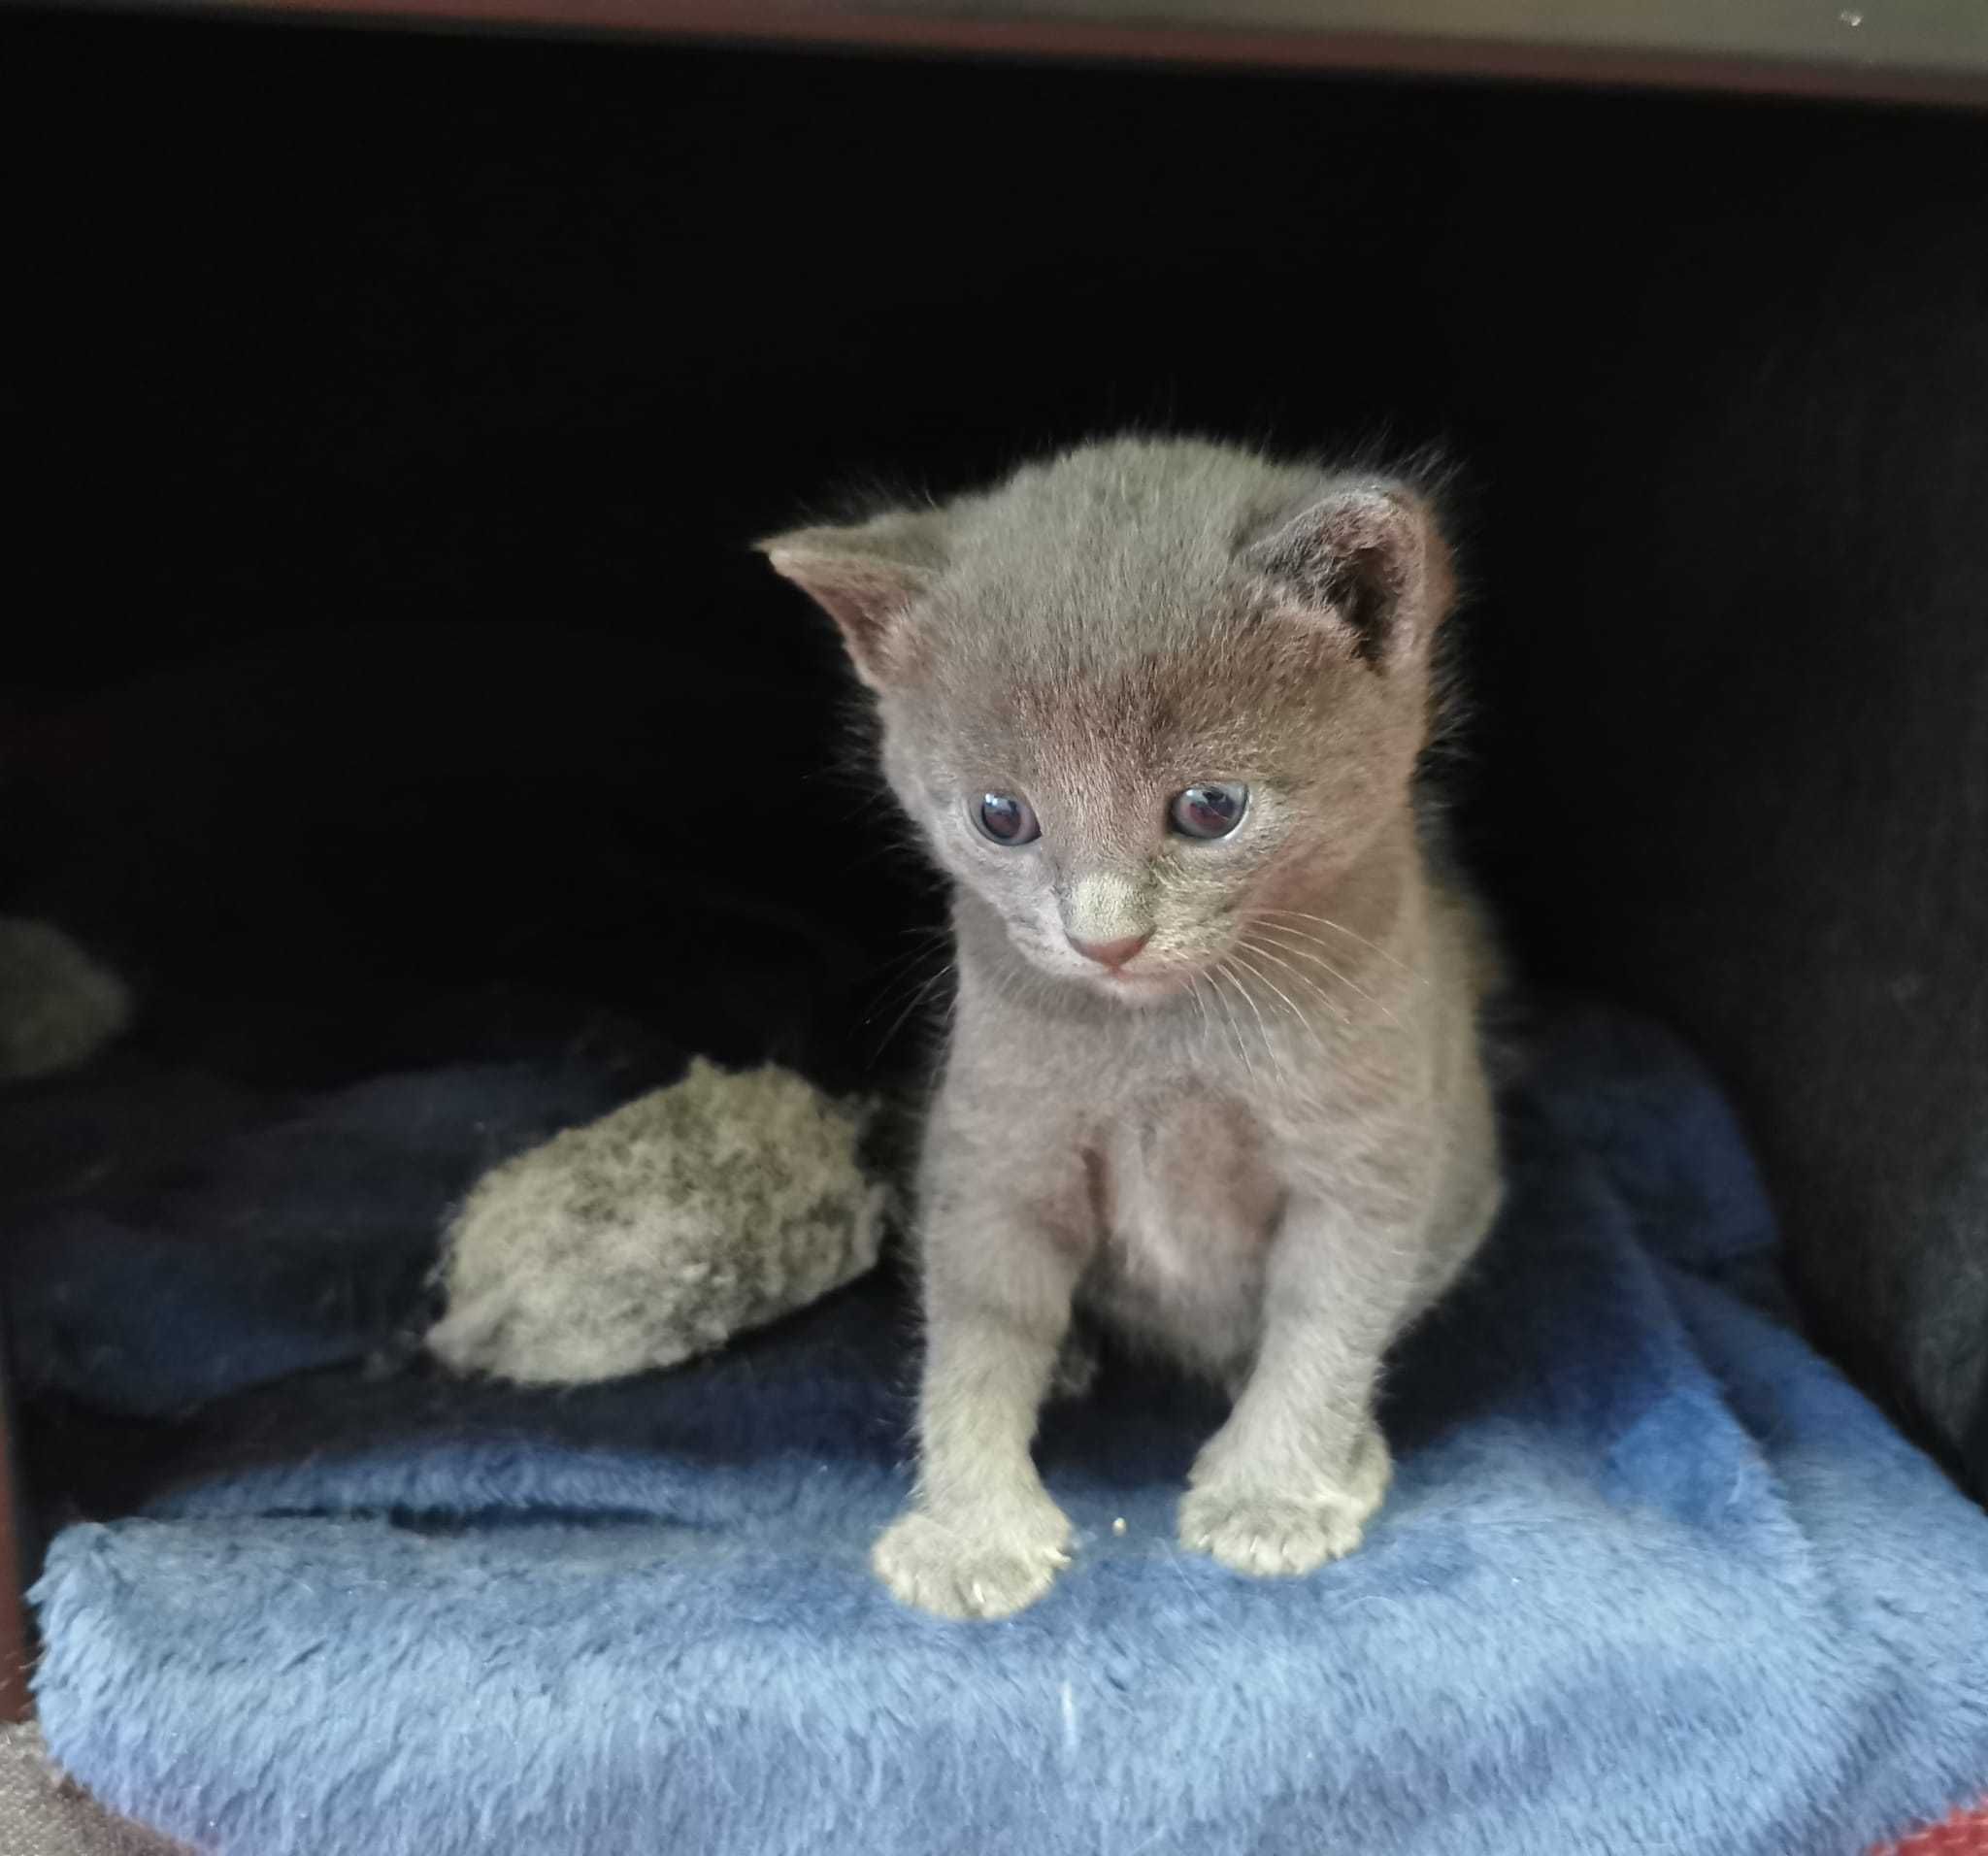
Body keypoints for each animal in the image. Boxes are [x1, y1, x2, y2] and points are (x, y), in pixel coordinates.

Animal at [767, 433, 1495, 1613]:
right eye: (1001, 817)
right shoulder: (995, 1149)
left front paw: (1277, 1493)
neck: (1170, 1042)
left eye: (1209, 808)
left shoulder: (1370, 1161)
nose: (1103, 937)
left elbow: (1327, 1328)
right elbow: (976, 1335)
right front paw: (971, 1532)